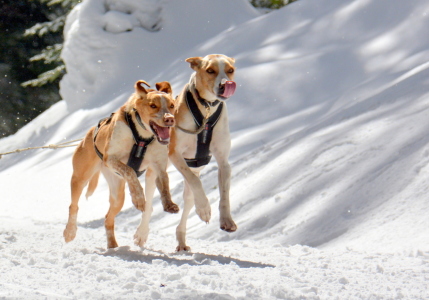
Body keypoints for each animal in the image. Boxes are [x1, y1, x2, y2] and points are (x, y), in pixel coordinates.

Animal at [62, 79, 178, 248]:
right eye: (153, 105)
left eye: (172, 105)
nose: (169, 119)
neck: (142, 137)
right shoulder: (111, 158)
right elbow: (129, 171)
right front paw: (138, 198)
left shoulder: (158, 165)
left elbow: (164, 184)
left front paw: (169, 203)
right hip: (80, 177)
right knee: (73, 205)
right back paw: (70, 231)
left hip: (117, 195)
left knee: (108, 219)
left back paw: (113, 246)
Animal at [135, 54, 237, 251]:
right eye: (210, 70)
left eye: (230, 70)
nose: (225, 84)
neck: (206, 110)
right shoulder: (175, 154)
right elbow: (196, 183)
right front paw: (204, 208)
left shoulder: (224, 162)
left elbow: (224, 193)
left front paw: (226, 220)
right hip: (154, 173)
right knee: (149, 204)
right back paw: (142, 233)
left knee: (189, 199)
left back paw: (181, 239)